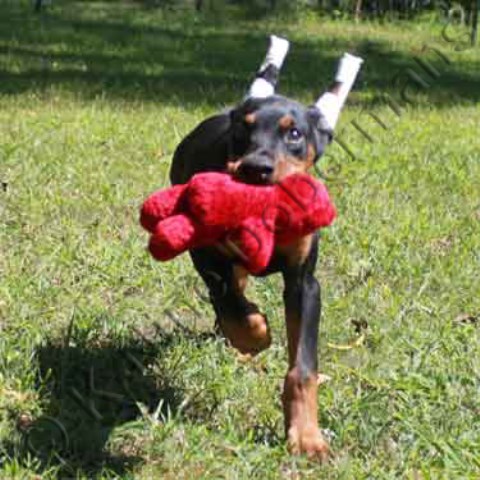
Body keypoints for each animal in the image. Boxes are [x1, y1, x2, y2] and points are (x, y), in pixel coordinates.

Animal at [170, 93, 334, 458]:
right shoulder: (206, 255)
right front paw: (257, 334)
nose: (255, 169)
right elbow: (232, 307)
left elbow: (303, 367)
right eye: (242, 132)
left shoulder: (305, 284)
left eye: (294, 133)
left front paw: (306, 437)